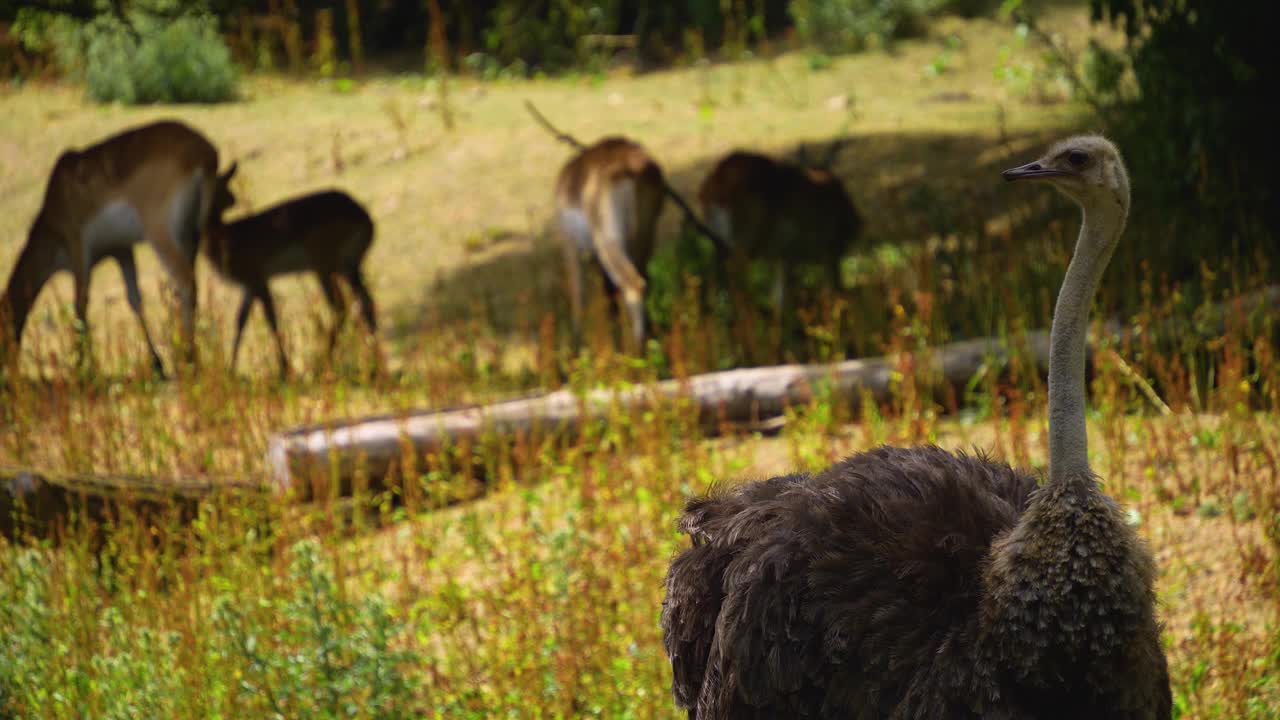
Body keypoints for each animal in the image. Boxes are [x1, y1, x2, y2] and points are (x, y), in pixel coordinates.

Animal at [1, 119, 220, 371]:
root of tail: (205, 153)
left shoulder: (78, 245)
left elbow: (81, 303)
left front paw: (81, 367)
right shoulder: (121, 250)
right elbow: (134, 299)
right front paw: (156, 362)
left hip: (161, 233)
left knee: (185, 282)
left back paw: (188, 357)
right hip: (190, 237)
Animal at [207, 162, 376, 376]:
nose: (232, 199)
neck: (224, 237)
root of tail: (363, 215)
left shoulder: (257, 280)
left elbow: (270, 319)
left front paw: (284, 370)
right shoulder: (249, 287)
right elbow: (240, 321)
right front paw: (230, 370)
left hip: (324, 267)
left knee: (340, 307)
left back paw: (322, 365)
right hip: (348, 268)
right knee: (365, 303)